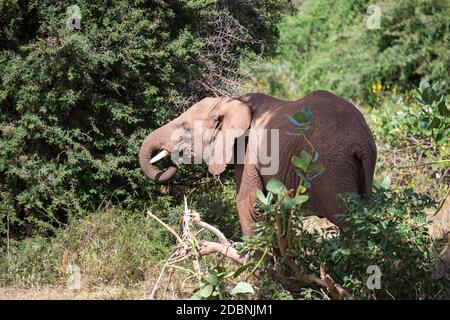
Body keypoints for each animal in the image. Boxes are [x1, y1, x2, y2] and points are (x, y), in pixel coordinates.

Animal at [138, 90, 376, 235]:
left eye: (186, 128)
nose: (170, 165)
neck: (231, 101)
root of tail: (361, 139)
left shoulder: (248, 149)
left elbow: (248, 202)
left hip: (330, 165)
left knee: (345, 218)